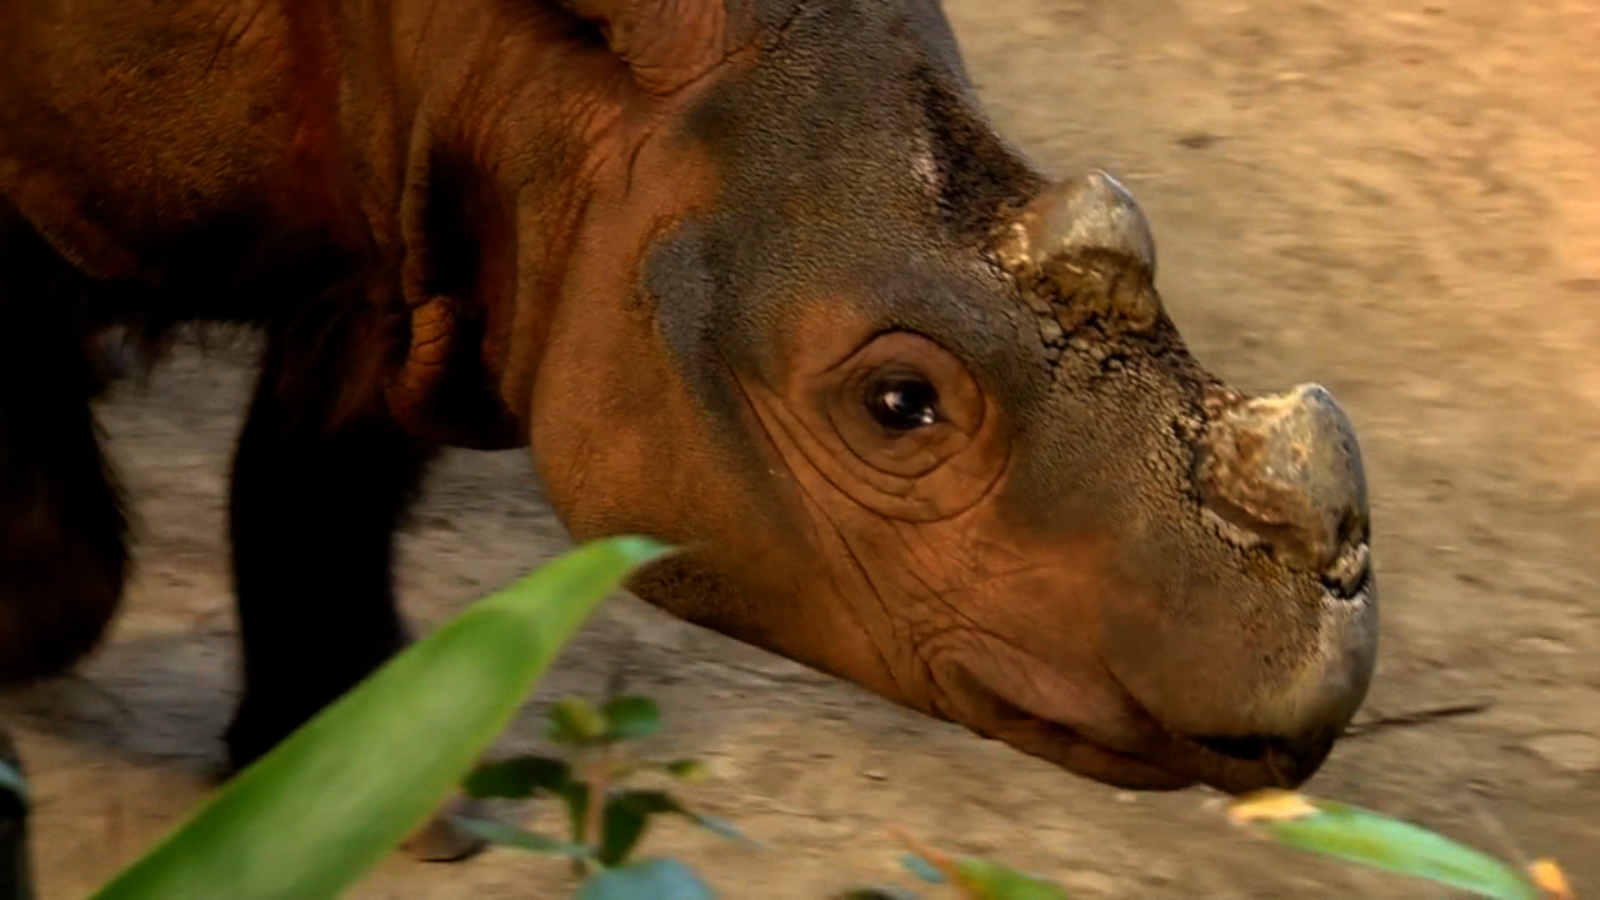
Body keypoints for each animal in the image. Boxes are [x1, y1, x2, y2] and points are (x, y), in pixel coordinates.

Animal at [0, 0, 1376, 851]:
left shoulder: (404, 259)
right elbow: (74, 560)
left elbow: (316, 495)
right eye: (897, 406)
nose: (1313, 691)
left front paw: (343, 791)